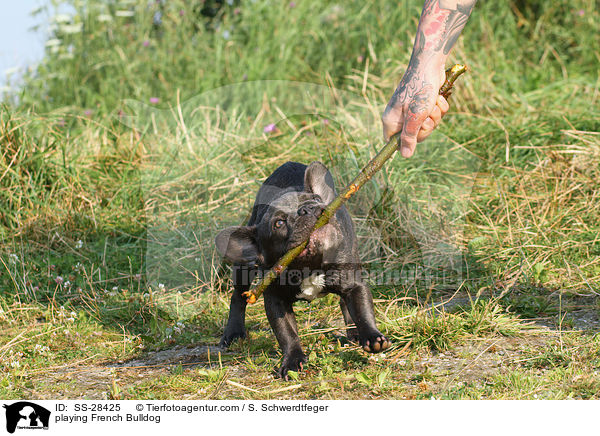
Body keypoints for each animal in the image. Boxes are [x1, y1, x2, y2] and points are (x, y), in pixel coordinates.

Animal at [216, 161, 390, 378]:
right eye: (279, 223)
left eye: (315, 200)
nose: (306, 209)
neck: (310, 266)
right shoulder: (276, 301)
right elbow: (287, 333)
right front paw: (292, 360)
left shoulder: (354, 284)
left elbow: (363, 310)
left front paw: (372, 336)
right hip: (243, 267)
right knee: (238, 297)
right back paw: (233, 333)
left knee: (345, 301)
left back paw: (355, 332)